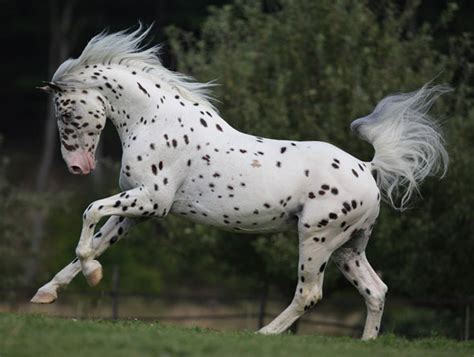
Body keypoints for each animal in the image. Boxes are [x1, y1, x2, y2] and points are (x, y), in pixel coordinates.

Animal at [32, 25, 448, 340]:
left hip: (317, 237)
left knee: (310, 293)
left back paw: (264, 334)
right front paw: (47, 294)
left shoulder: (152, 200)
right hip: (349, 248)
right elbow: (96, 244)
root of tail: (367, 167)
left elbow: (90, 213)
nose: (77, 167)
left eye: (64, 112)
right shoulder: (136, 209)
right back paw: (365, 342)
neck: (156, 120)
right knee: (375, 291)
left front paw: (92, 276)